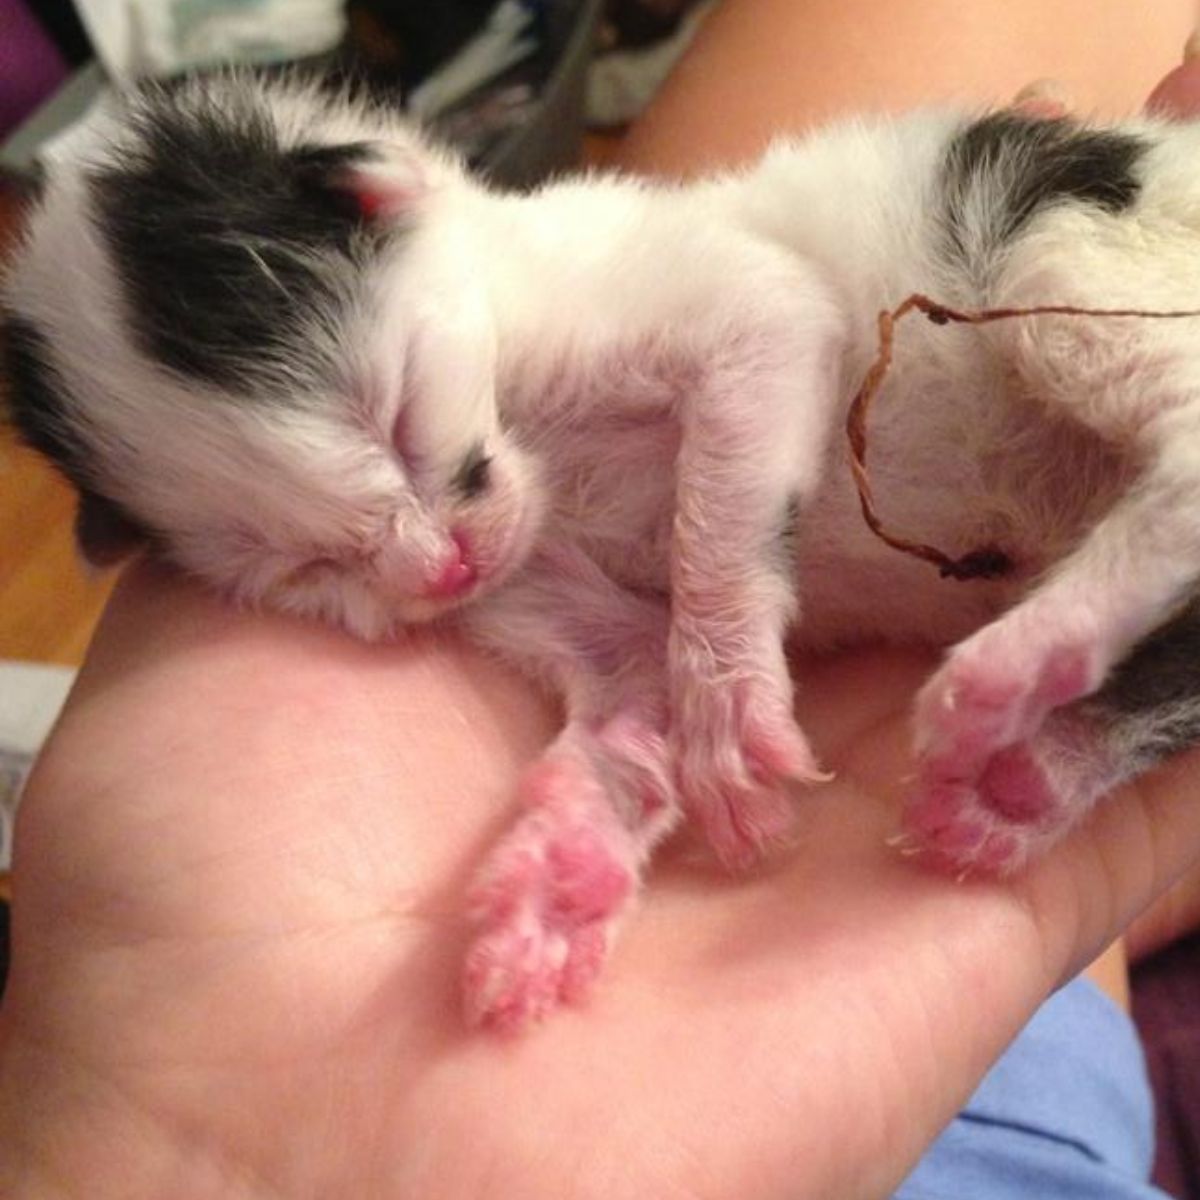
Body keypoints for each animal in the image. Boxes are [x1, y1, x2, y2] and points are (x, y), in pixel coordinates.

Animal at [2, 77, 1200, 1032]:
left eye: (391, 416)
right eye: (295, 566)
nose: (437, 569)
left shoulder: (723, 302)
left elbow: (724, 493)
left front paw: (725, 708)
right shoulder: (521, 569)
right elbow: (626, 677)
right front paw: (564, 876)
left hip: (1057, 248)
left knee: (1182, 442)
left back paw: (1023, 662)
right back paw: (1034, 779)